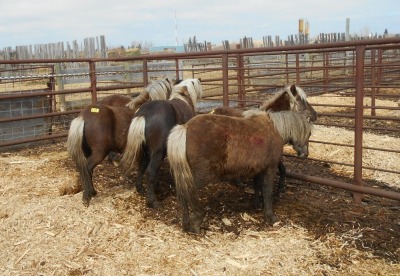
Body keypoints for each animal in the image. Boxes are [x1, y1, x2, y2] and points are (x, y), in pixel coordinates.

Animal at [66, 77, 174, 205]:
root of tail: (83, 117)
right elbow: (145, 168)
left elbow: (142, 167)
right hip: (99, 152)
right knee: (87, 168)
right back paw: (88, 195)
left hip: (87, 151)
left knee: (83, 168)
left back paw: (91, 192)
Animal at [121, 78, 203, 208]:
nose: (200, 79)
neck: (183, 98)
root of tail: (144, 114)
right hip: (158, 152)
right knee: (150, 171)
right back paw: (152, 201)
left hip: (145, 151)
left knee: (142, 166)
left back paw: (141, 188)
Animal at [167, 110, 314, 233]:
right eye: (309, 133)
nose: (304, 154)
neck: (275, 130)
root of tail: (185, 127)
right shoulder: (270, 169)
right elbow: (267, 192)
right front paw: (270, 217)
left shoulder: (258, 170)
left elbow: (257, 186)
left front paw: (257, 205)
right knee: (187, 192)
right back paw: (196, 223)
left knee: (182, 193)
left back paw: (187, 224)